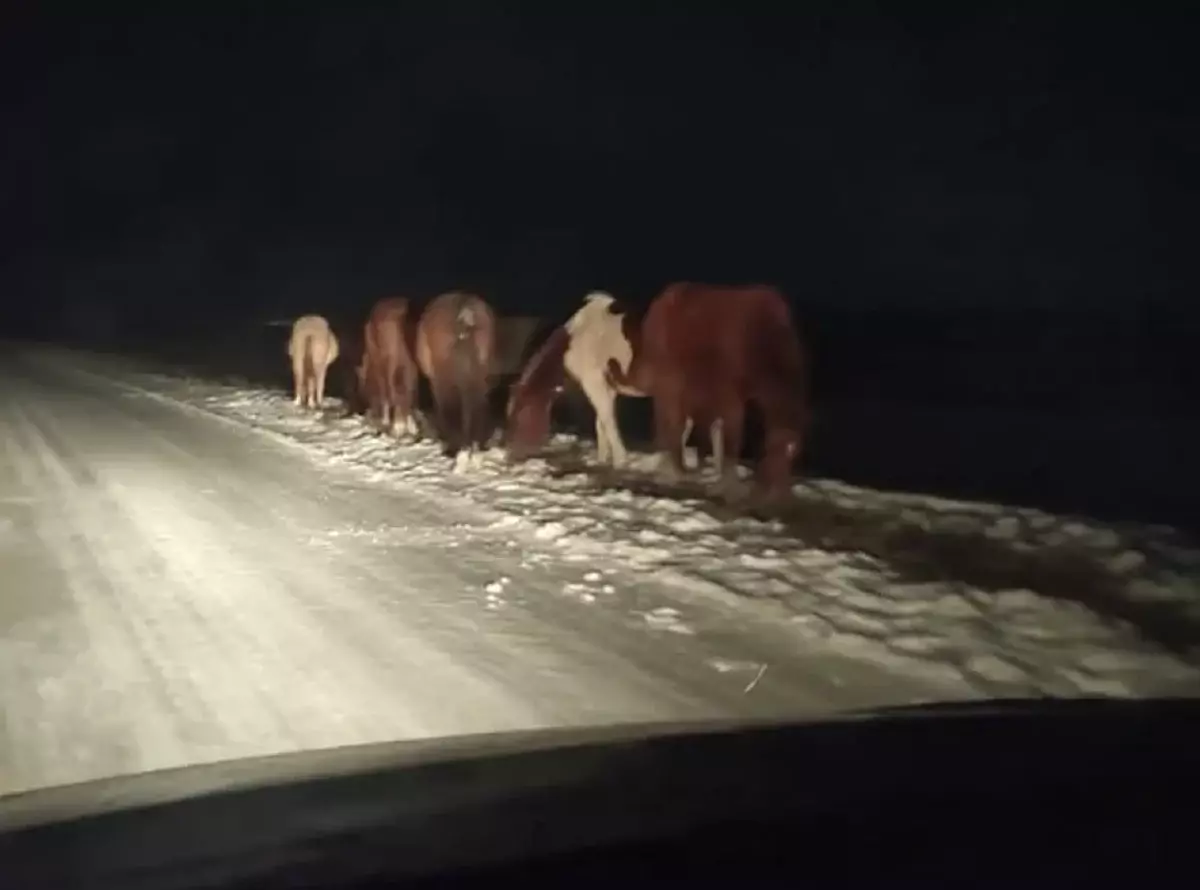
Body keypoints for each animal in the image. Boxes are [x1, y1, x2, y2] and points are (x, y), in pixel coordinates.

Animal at [415, 292, 494, 474]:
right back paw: (475, 457)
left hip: (447, 381)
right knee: (478, 410)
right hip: (479, 377)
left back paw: (460, 458)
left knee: (453, 410)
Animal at [501, 292, 648, 467]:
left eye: (520, 416)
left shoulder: (594, 383)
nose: (509, 457)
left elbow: (607, 421)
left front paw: (620, 462)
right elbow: (601, 422)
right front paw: (602, 460)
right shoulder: (607, 387)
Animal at [604, 281, 811, 498]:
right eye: (776, 448)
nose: (780, 492)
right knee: (670, 418)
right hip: (668, 368)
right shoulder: (728, 386)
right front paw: (729, 486)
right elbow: (732, 433)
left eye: (796, 453)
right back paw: (675, 472)